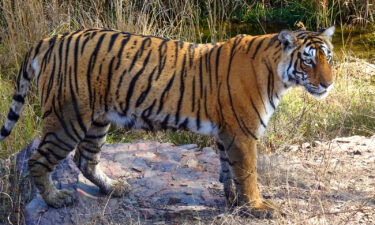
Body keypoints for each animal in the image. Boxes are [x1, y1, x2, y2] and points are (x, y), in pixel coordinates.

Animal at [0, 27, 334, 217]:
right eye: (308, 60)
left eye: (328, 58)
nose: (328, 84)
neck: (279, 74)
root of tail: (52, 38)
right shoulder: (242, 132)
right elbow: (248, 172)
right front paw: (257, 207)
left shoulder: (227, 131)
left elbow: (229, 170)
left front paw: (234, 202)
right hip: (68, 118)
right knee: (39, 160)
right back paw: (56, 199)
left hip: (98, 119)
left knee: (85, 158)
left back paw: (113, 187)